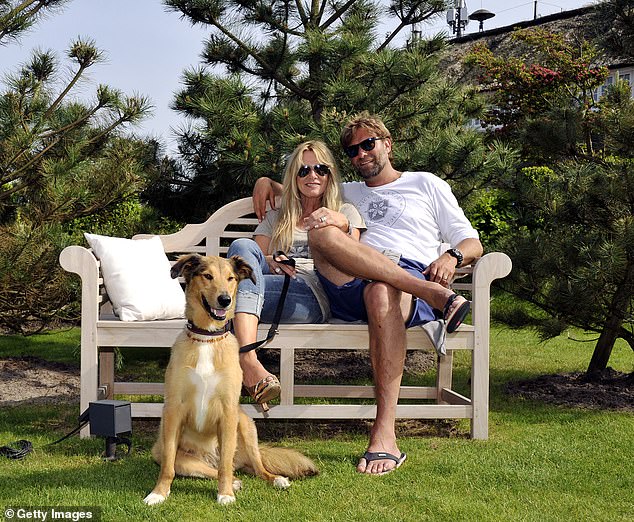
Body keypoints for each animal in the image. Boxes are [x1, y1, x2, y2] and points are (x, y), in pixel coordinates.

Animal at [143, 252, 316, 504]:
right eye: (207, 276)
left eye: (231, 278)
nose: (224, 299)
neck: (207, 338)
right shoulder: (174, 409)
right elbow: (168, 467)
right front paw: (158, 493)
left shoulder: (227, 410)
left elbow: (225, 465)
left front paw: (225, 495)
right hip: (174, 454)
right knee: (214, 469)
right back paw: (235, 481)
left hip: (245, 425)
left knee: (252, 467)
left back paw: (274, 479)